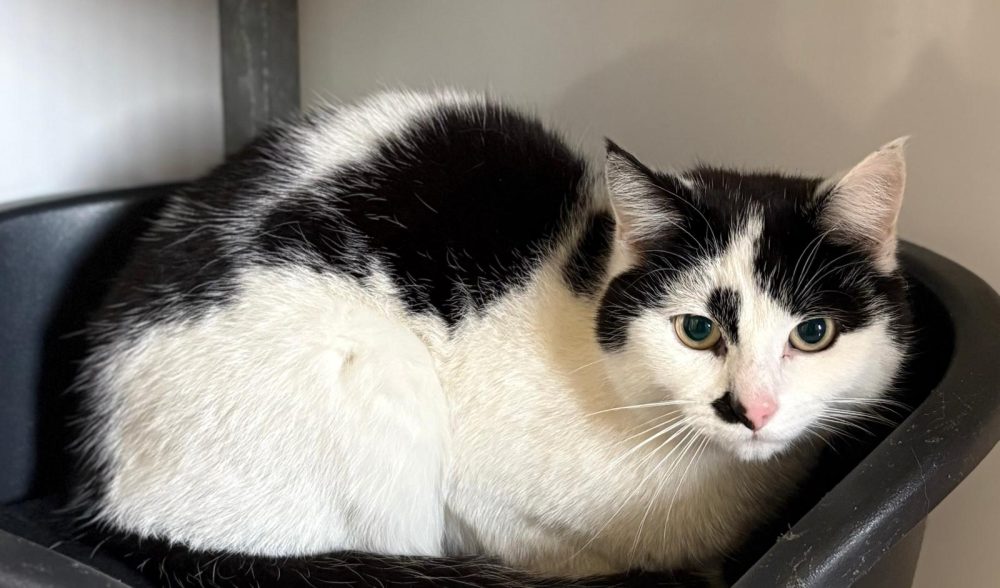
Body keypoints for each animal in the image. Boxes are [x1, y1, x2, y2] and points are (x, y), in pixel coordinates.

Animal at [69, 89, 911, 586]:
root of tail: (110, 507)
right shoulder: (482, 503)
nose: (753, 410)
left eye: (813, 333)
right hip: (374, 380)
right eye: (697, 330)